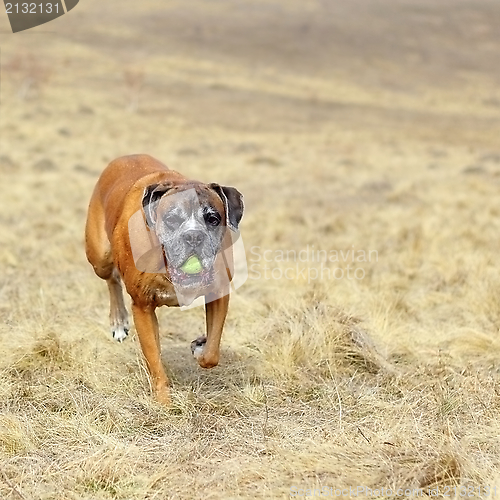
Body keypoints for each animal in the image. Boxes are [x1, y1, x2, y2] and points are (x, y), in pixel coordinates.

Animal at [84, 154, 244, 404]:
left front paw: (200, 346)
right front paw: (164, 401)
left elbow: (212, 352)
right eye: (172, 219)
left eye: (213, 219)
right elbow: (154, 358)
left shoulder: (219, 294)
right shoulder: (142, 307)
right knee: (111, 280)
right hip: (100, 257)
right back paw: (118, 322)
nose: (193, 236)